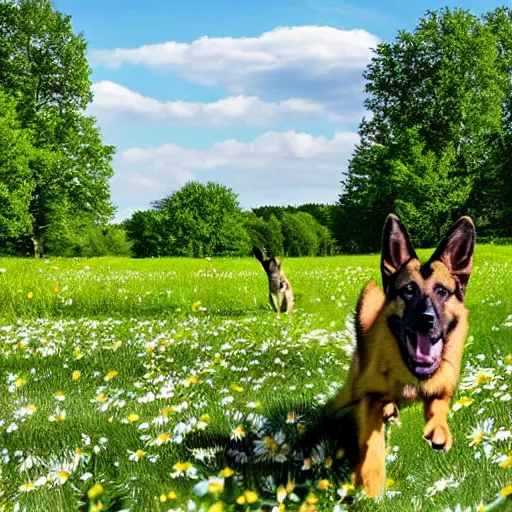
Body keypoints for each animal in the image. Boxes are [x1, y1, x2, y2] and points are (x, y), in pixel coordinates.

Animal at [330, 214, 474, 498]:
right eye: (408, 290)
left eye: (442, 292)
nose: (426, 320)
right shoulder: (370, 398)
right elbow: (371, 441)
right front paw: (371, 482)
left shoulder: (444, 385)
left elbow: (439, 403)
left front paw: (439, 431)